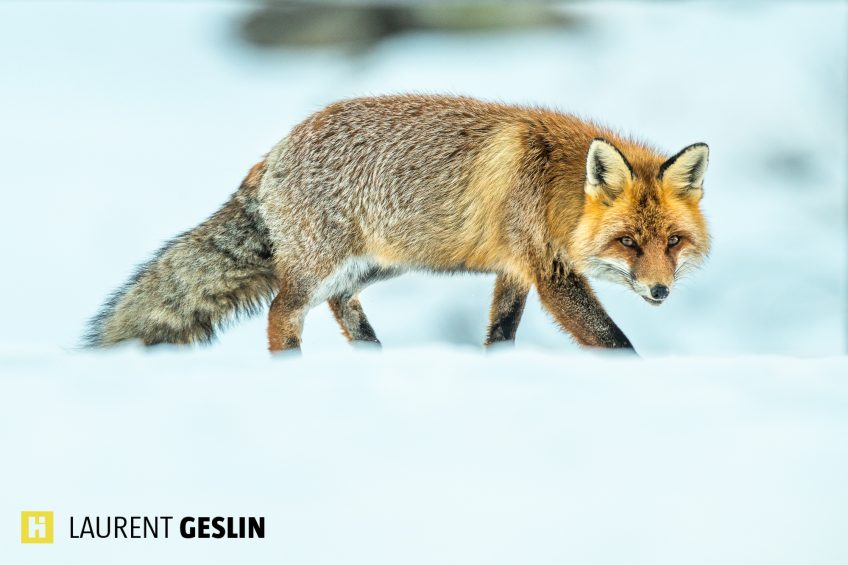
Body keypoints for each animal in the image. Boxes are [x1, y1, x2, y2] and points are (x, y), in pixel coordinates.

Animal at [85, 95, 710, 353]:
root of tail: (273, 153)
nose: (661, 290)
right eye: (627, 242)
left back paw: (371, 355)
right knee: (282, 313)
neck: (553, 186)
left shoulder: (515, 269)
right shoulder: (551, 271)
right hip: (323, 266)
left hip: (374, 268)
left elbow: (500, 334)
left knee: (340, 308)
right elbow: (613, 339)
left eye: (672, 241)